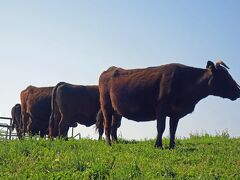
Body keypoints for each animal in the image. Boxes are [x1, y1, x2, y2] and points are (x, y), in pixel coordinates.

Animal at [99, 60, 240, 148]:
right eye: (224, 77)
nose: (238, 90)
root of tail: (111, 69)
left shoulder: (175, 112)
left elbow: (173, 130)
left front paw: (172, 146)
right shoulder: (161, 109)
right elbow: (161, 127)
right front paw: (158, 145)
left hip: (117, 111)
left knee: (114, 126)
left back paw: (116, 143)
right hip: (106, 106)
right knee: (107, 125)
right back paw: (108, 144)